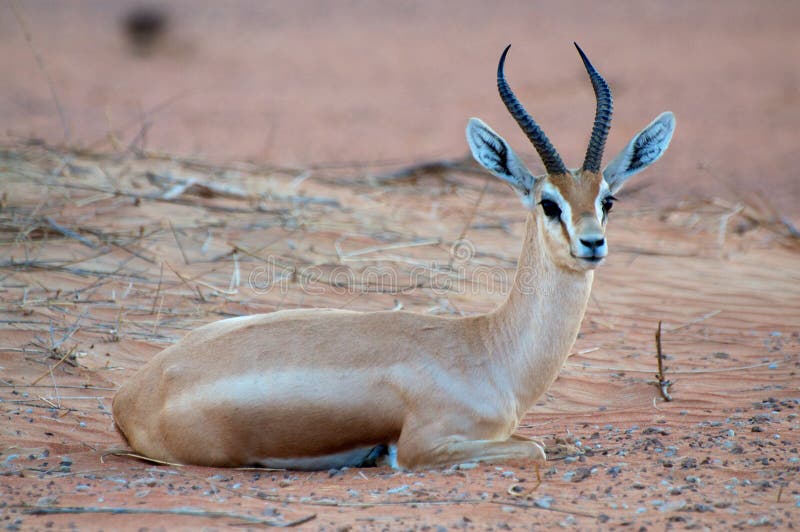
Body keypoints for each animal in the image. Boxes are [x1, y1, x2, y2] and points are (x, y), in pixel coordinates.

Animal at [112, 44, 674, 470]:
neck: (487, 351)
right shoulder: (426, 446)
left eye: (607, 200)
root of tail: (131, 395)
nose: (592, 243)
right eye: (548, 203)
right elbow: (534, 447)